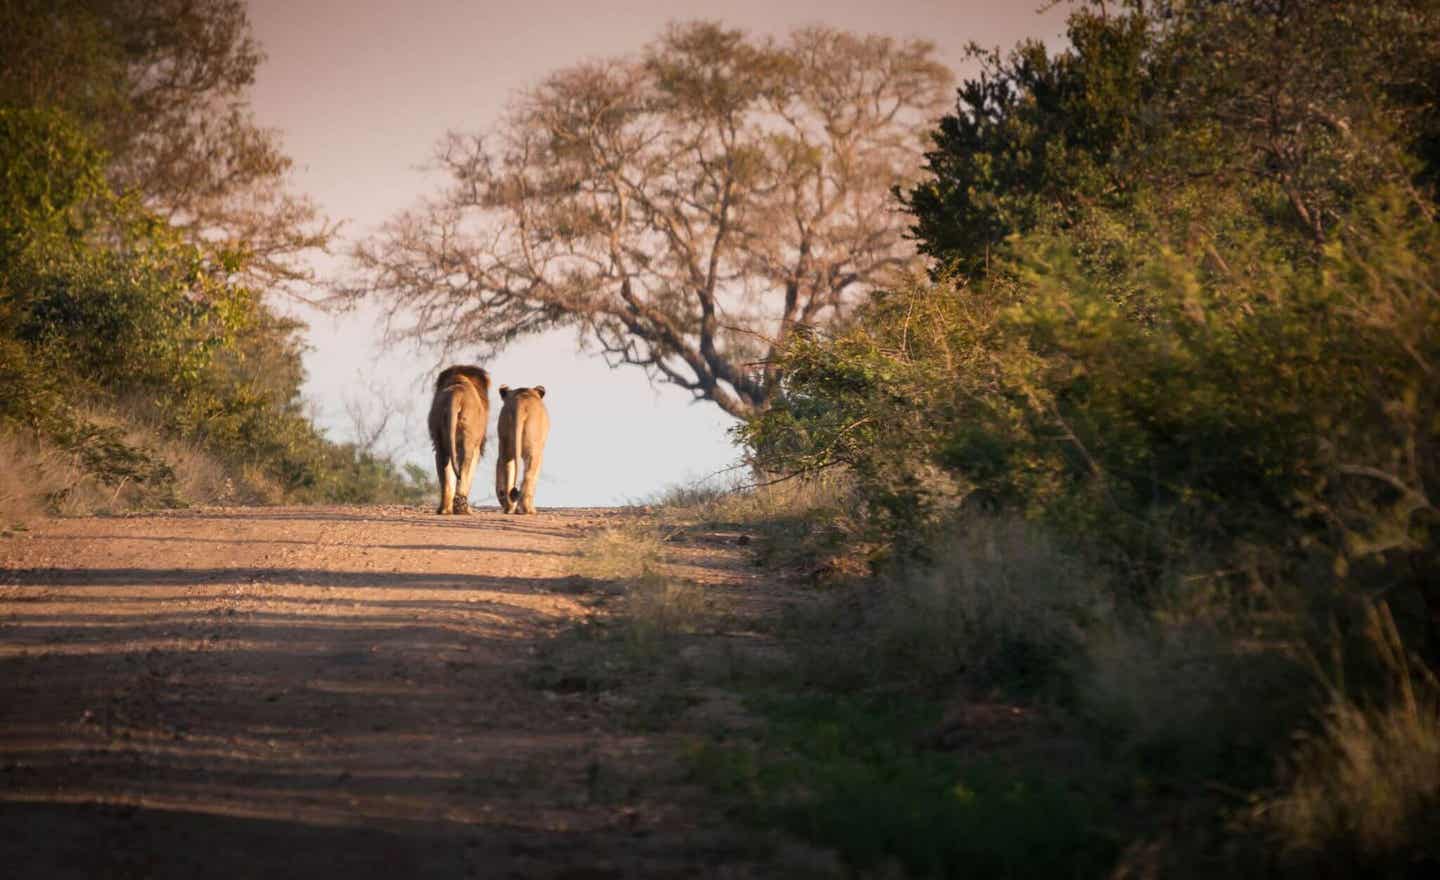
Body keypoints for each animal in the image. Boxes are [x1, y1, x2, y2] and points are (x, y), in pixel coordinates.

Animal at [426, 367, 489, 515]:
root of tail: (455, 395)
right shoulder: (477, 447)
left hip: (440, 439)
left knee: (445, 470)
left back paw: (444, 509)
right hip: (468, 439)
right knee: (464, 468)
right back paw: (462, 508)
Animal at [495, 385, 550, 515]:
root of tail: (519, 403)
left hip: (505, 443)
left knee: (507, 470)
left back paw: (509, 507)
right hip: (533, 449)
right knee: (529, 475)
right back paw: (528, 510)